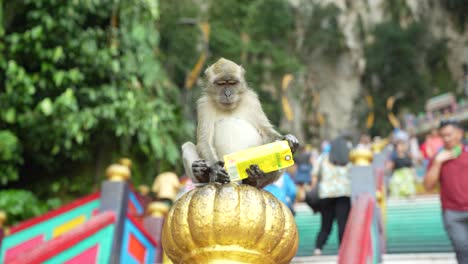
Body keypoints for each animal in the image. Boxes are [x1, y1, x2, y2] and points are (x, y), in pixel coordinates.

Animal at [181, 58, 298, 189]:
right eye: (221, 83)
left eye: (232, 83)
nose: (227, 94)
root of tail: (236, 182)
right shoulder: (204, 104)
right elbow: (204, 141)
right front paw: (216, 169)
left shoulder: (252, 100)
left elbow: (265, 132)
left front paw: (288, 139)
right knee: (187, 145)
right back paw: (203, 175)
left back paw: (255, 178)